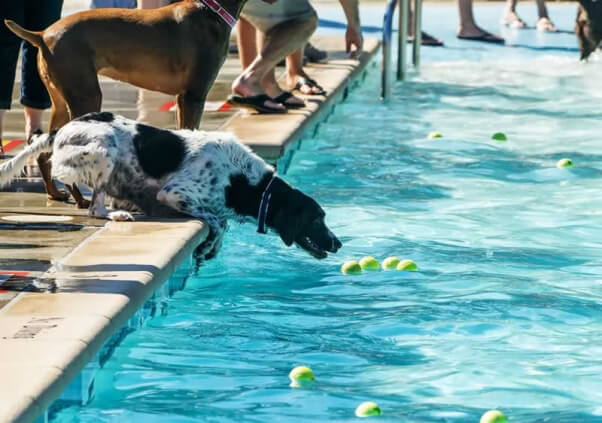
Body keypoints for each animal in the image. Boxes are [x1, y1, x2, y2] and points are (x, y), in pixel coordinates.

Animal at [0, 112, 340, 262]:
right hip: (104, 148)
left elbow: (222, 222)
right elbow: (219, 222)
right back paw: (115, 214)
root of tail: (60, 128)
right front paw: (208, 247)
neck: (245, 181)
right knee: (95, 207)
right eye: (316, 219)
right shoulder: (175, 193)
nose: (338, 244)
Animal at [4, 0, 272, 208]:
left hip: (62, 101)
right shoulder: (193, 96)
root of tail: (42, 35)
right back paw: (80, 199)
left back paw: (57, 194)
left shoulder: (183, 99)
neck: (212, 10)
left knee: (42, 151)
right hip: (86, 96)